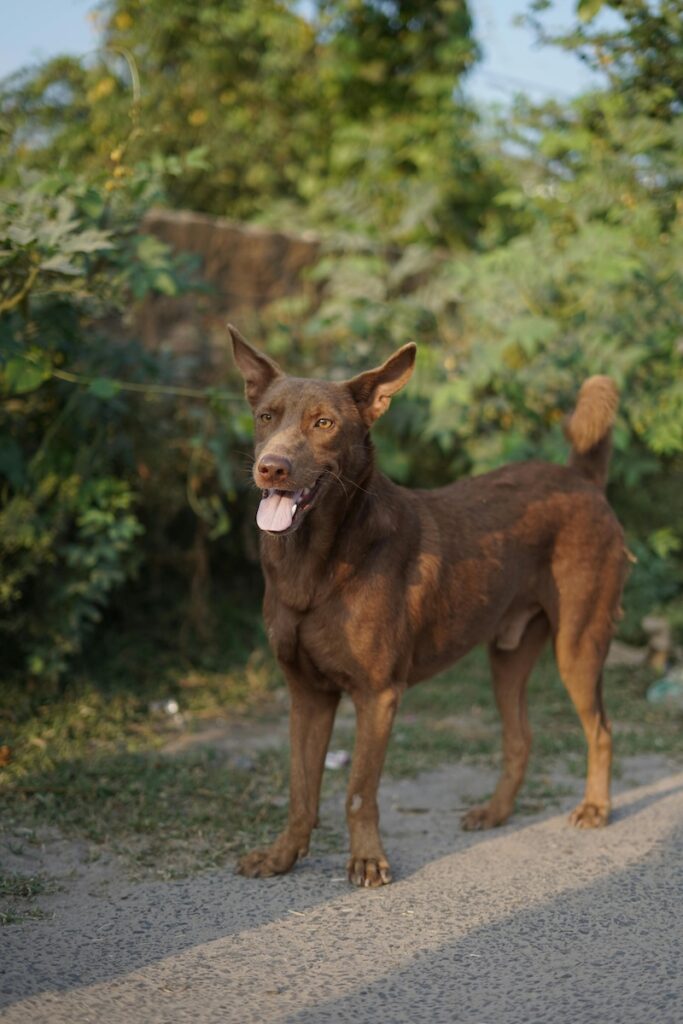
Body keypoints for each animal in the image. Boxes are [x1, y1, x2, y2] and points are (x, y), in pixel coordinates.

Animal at [232, 327, 626, 888]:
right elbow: (300, 790)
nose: (271, 468)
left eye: (324, 423)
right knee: (521, 739)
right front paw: (282, 856)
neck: (314, 563)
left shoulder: (377, 695)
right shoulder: (307, 695)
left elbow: (357, 791)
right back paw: (495, 812)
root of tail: (581, 479)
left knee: (601, 731)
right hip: (507, 657)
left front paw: (367, 861)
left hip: (579, 645)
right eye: (266, 416)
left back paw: (595, 808)